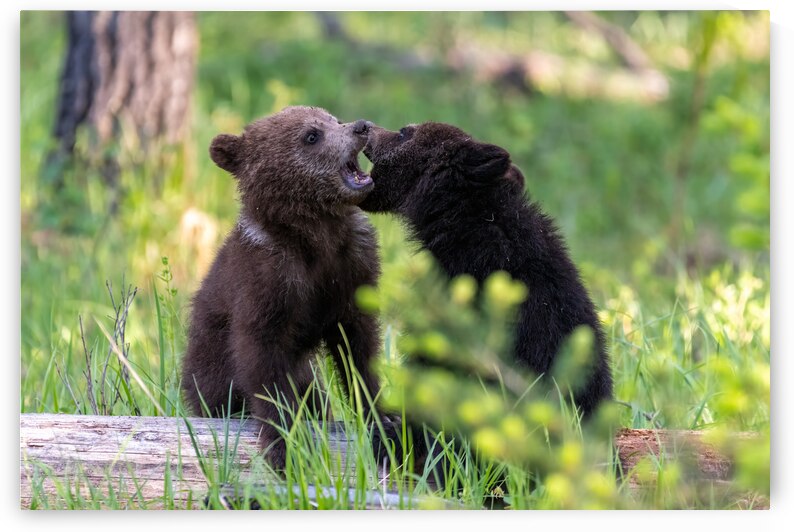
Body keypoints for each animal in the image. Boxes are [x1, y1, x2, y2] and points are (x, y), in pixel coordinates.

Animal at [181, 106, 383, 469]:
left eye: (333, 119)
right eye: (311, 135)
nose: (361, 126)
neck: (316, 234)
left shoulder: (352, 266)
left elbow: (359, 347)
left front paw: (383, 417)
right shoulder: (267, 279)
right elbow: (261, 357)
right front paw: (283, 445)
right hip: (209, 369)